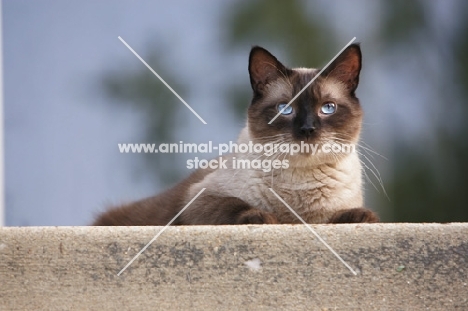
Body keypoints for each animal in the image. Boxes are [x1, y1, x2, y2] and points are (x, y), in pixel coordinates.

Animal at [93, 44, 378, 227]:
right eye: (285, 109)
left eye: (327, 108)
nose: (308, 129)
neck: (299, 192)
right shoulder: (200, 198)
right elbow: (235, 205)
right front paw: (263, 218)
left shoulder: (327, 213)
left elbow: (344, 214)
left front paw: (362, 217)